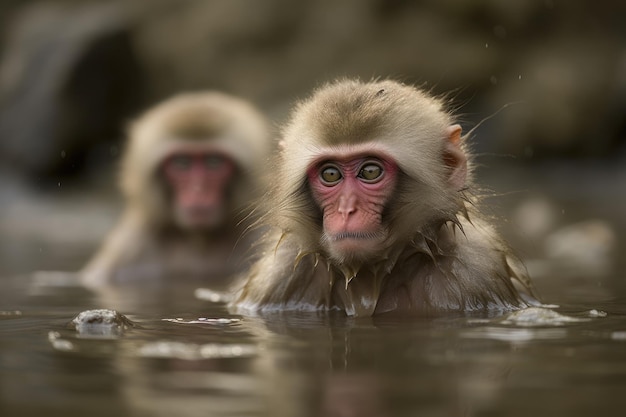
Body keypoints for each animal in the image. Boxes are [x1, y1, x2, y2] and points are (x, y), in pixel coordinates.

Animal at [229, 79, 536, 316]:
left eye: (370, 171)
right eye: (330, 174)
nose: (346, 210)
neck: (367, 279)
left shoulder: (475, 271)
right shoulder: (275, 279)